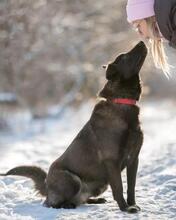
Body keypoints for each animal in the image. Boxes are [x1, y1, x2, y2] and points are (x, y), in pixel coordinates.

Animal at [0, 40, 147, 213]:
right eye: (124, 56)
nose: (142, 41)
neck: (122, 102)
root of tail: (46, 186)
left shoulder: (134, 159)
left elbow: (131, 187)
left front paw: (132, 204)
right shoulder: (112, 161)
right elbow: (119, 188)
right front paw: (125, 208)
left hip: (99, 184)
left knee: (81, 200)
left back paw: (95, 200)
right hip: (72, 179)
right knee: (51, 203)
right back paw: (67, 205)